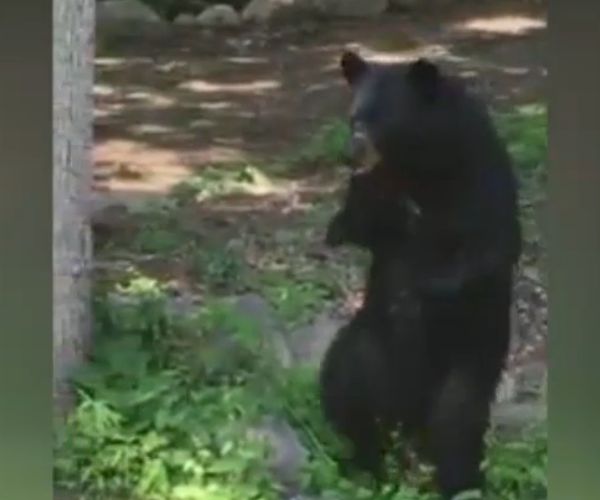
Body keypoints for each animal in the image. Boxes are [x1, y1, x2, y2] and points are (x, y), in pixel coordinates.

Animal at [322, 52, 524, 498]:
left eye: (382, 120)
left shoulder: (479, 173)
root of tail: (407, 417)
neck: (418, 168)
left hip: (469, 360)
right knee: (347, 385)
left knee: (456, 424)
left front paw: (422, 287)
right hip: (368, 345)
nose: (349, 153)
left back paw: (458, 481)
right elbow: (353, 225)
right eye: (354, 117)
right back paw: (363, 466)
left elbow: (488, 248)